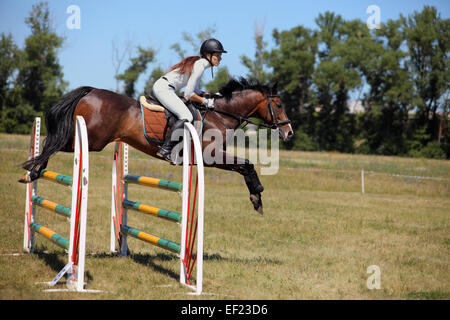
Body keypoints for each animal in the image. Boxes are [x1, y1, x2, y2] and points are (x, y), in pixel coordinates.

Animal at [17, 77, 294, 215]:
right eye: (279, 105)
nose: (289, 132)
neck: (220, 114)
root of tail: (92, 91)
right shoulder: (211, 156)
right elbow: (247, 165)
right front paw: (257, 196)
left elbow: (245, 165)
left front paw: (256, 197)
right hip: (92, 140)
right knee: (53, 143)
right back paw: (33, 171)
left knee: (51, 142)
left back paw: (32, 172)